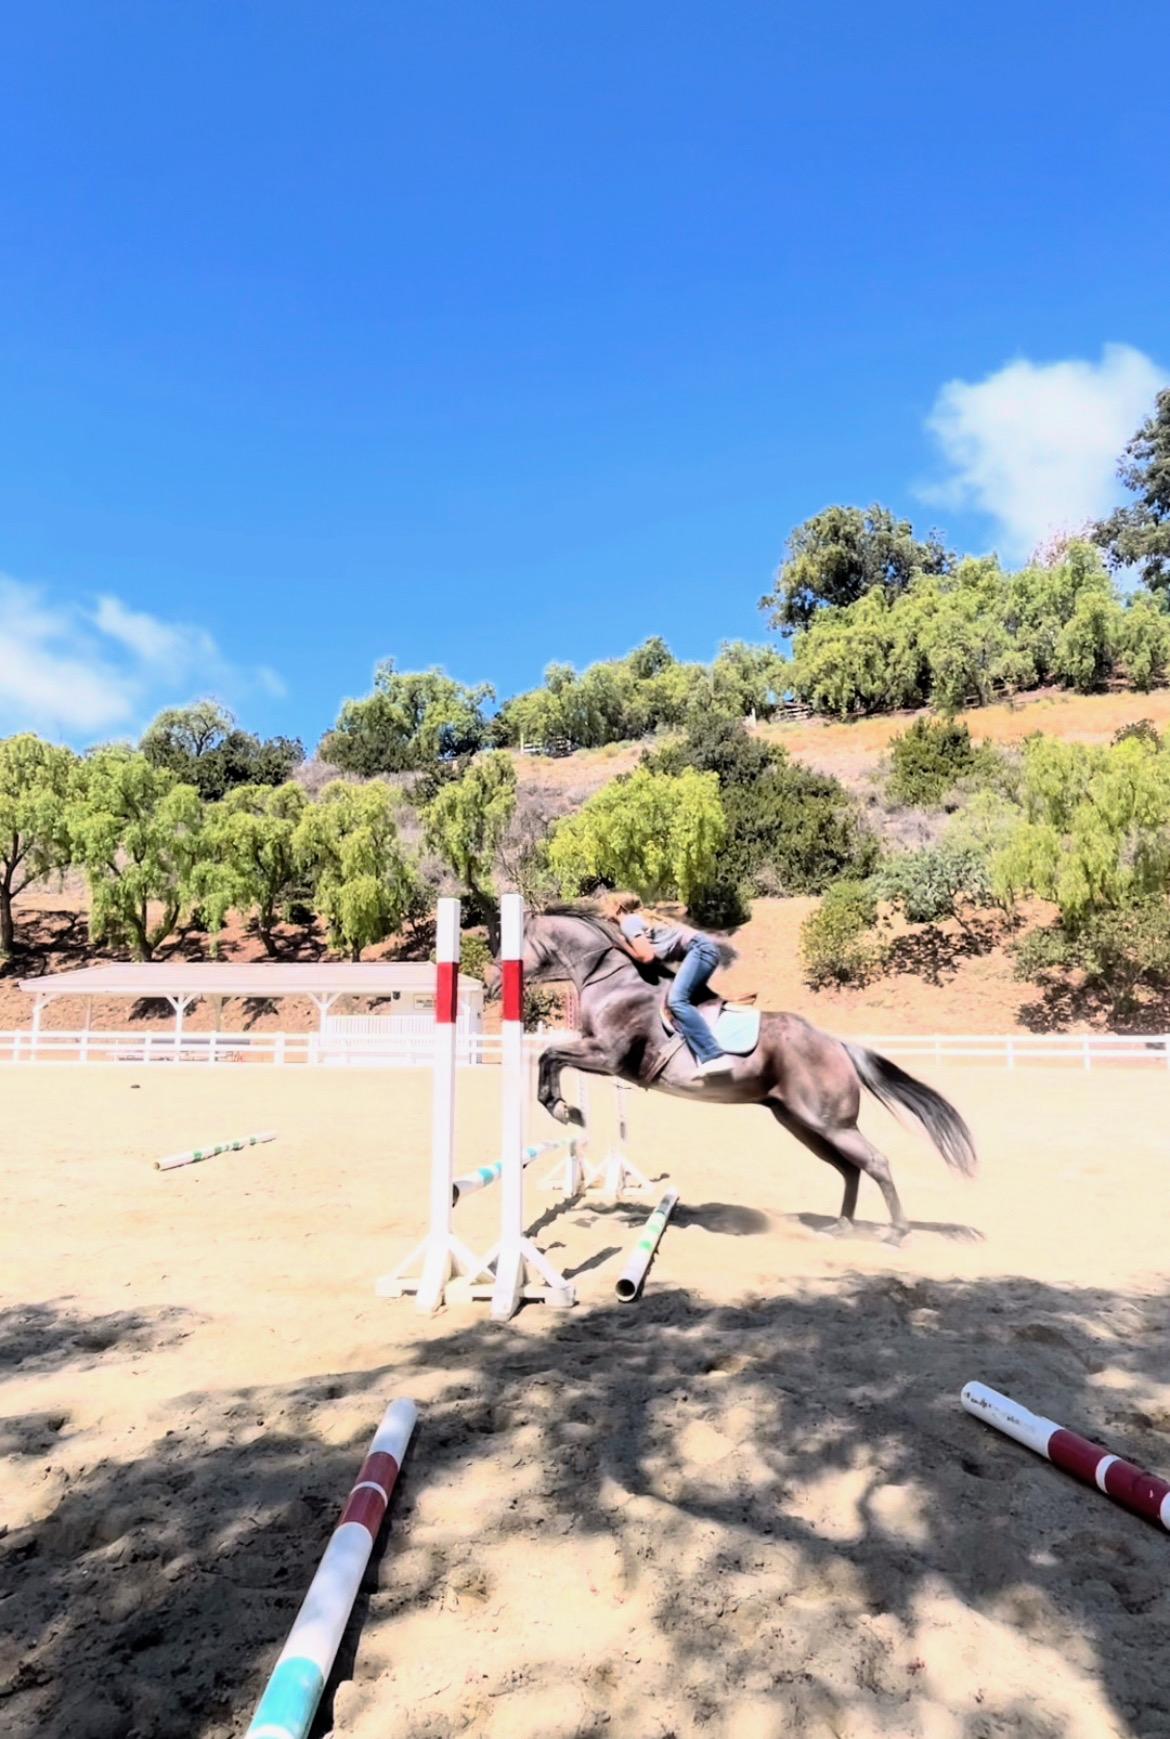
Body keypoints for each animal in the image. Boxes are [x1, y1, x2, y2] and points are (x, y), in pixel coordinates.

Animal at [500, 903, 976, 1244]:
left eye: (515, 942)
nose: (491, 983)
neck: (613, 977)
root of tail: (837, 1044)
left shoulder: (609, 1056)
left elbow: (550, 1056)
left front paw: (564, 1109)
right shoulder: (597, 1053)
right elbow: (550, 1055)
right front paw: (566, 1109)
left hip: (829, 1122)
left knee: (874, 1162)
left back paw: (895, 1232)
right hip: (798, 1121)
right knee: (849, 1169)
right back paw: (842, 1226)